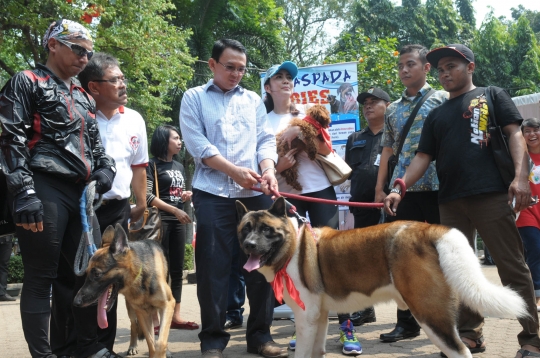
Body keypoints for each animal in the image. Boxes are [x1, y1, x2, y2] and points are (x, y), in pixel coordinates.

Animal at [236, 197, 528, 358]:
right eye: (246, 229)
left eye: (266, 230)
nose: (249, 245)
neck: (293, 246)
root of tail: (430, 229)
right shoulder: (319, 317)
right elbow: (317, 350)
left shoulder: (306, 317)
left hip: (429, 313)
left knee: (460, 350)